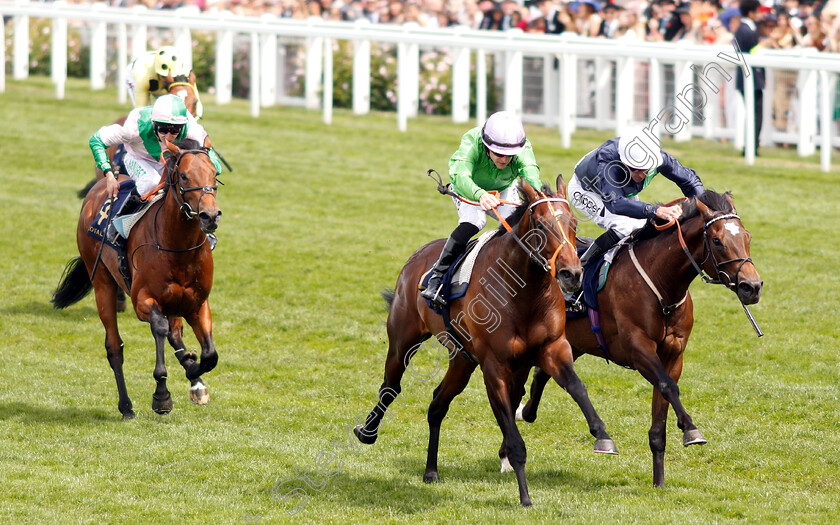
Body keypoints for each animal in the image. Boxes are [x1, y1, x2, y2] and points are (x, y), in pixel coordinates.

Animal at [51, 137, 223, 420]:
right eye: (184, 176)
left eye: (214, 173)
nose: (210, 216)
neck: (178, 246)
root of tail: (98, 189)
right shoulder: (142, 300)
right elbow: (159, 328)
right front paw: (162, 395)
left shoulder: (197, 303)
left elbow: (209, 355)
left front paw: (193, 373)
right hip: (102, 282)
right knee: (114, 347)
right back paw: (126, 407)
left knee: (175, 334)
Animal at [354, 177, 616, 508]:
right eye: (541, 225)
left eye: (573, 223)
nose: (572, 274)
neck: (524, 293)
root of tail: (420, 254)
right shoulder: (494, 365)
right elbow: (514, 437)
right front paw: (525, 496)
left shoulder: (553, 348)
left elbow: (576, 387)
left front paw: (603, 436)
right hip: (403, 339)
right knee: (391, 386)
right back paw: (367, 431)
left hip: (462, 359)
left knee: (437, 404)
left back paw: (431, 471)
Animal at [512, 188, 760, 488]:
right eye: (717, 240)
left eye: (747, 236)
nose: (752, 287)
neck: (661, 284)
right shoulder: (638, 348)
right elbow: (668, 387)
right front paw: (691, 430)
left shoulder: (673, 355)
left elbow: (661, 413)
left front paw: (659, 481)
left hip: (572, 341)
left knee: (542, 375)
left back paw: (526, 413)